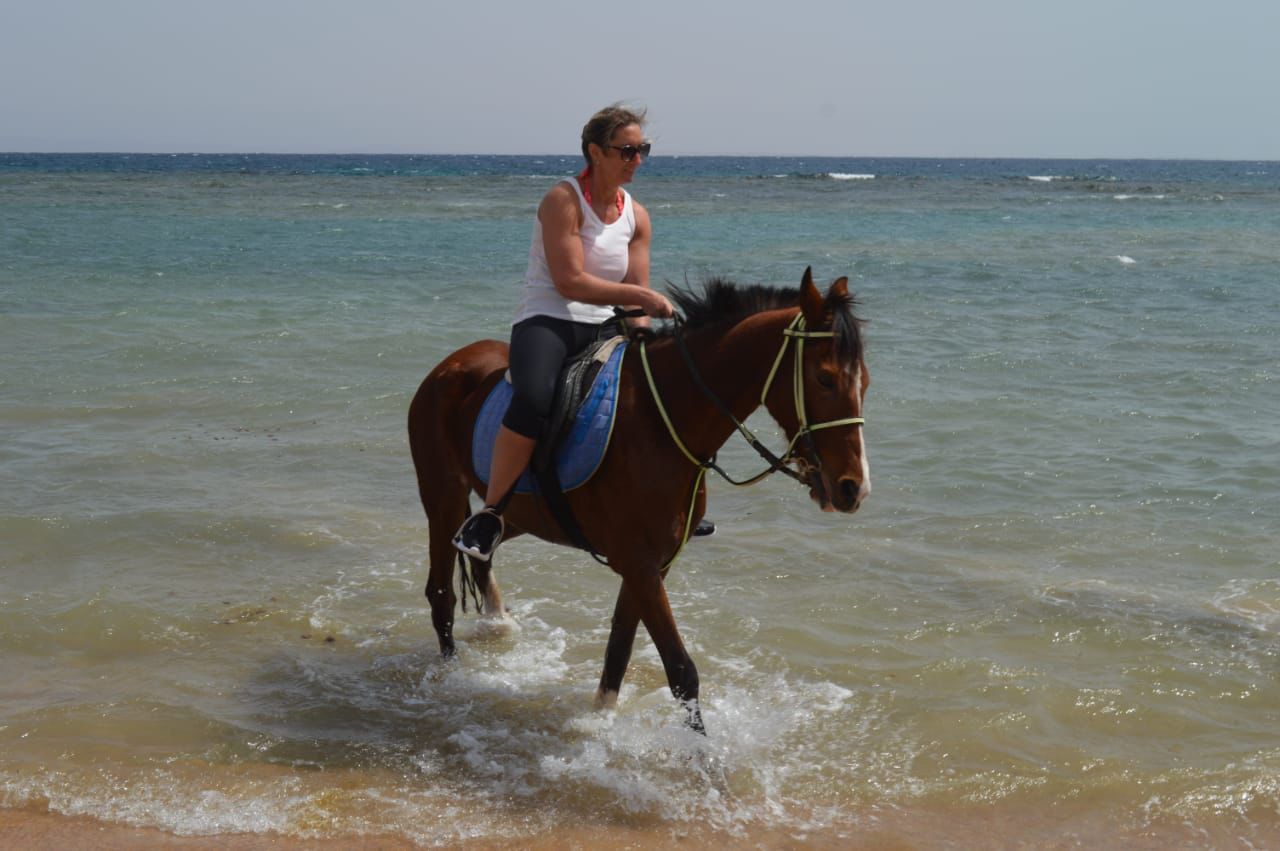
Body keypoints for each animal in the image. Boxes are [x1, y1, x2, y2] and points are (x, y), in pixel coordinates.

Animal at [407, 267, 869, 733]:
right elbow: (681, 670)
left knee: (485, 545)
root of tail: (450, 364)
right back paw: (449, 677)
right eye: (824, 378)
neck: (661, 419)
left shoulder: (652, 563)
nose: (853, 488)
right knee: (441, 593)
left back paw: (496, 616)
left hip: (518, 511)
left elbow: (620, 647)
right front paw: (702, 754)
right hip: (443, 497)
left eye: (863, 381)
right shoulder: (640, 563)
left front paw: (600, 720)